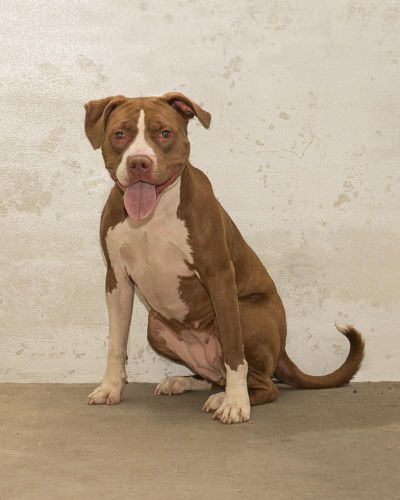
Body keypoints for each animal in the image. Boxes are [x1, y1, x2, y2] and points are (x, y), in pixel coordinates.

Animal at [83, 93, 364, 422]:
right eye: (120, 134)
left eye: (164, 133)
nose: (139, 162)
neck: (154, 214)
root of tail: (283, 352)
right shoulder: (117, 280)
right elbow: (116, 342)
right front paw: (110, 388)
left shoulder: (218, 274)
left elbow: (233, 349)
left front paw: (236, 403)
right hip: (156, 328)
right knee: (213, 375)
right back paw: (184, 382)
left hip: (247, 313)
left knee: (265, 384)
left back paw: (226, 397)